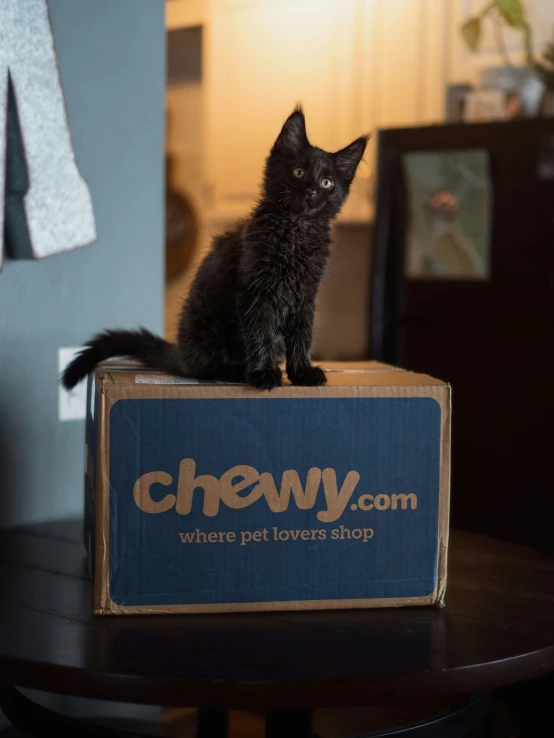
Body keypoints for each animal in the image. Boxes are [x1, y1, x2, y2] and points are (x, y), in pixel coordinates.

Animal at [62, 108, 366, 392]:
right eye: (298, 172)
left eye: (327, 182)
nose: (311, 192)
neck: (296, 231)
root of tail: (181, 352)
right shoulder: (254, 292)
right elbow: (261, 334)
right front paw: (264, 374)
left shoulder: (305, 295)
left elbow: (302, 336)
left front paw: (302, 373)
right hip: (207, 327)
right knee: (203, 368)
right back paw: (237, 371)